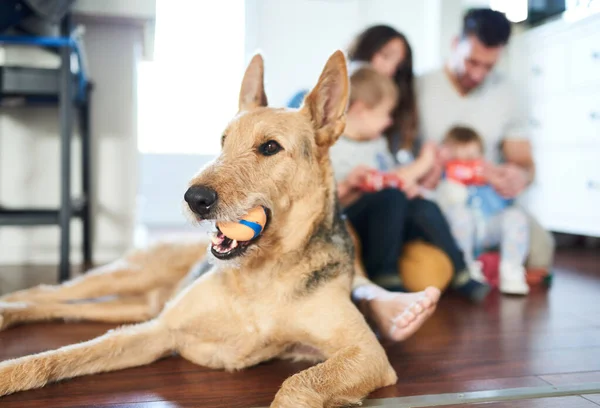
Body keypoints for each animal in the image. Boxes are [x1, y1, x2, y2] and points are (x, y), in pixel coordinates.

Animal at [0, 52, 440, 406]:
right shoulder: (160, 330)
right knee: (48, 291)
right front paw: (11, 373)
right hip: (130, 277)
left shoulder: (364, 352)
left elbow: (299, 384)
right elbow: (58, 357)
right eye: (224, 141)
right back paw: (9, 308)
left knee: (62, 305)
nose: (194, 198)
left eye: (270, 147)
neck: (262, 275)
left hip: (138, 303)